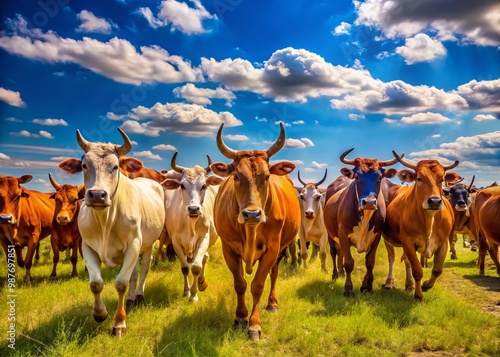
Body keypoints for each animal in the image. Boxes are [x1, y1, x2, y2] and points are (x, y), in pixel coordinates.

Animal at [58, 129, 164, 336]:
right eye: (84, 165)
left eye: (115, 167)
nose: (97, 195)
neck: (105, 220)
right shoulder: (88, 247)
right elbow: (96, 283)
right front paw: (100, 313)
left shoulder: (133, 245)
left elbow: (121, 283)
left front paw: (119, 322)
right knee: (134, 274)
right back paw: (130, 299)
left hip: (147, 244)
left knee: (144, 269)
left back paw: (138, 295)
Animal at [161, 152, 222, 302]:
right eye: (182, 185)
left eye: (204, 185)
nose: (194, 209)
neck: (190, 223)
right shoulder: (176, 243)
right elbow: (185, 268)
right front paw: (186, 292)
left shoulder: (203, 239)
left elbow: (196, 267)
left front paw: (194, 295)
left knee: (204, 258)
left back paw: (202, 282)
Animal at [211, 122, 300, 340]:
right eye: (235, 176)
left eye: (267, 176)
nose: (252, 214)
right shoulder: (228, 249)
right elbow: (240, 283)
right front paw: (241, 317)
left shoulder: (272, 249)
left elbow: (258, 285)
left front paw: (254, 324)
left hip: (281, 250)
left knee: (274, 274)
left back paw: (272, 303)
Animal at [322, 149, 400, 296]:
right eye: (357, 177)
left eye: (379, 177)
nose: (369, 202)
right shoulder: (343, 234)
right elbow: (349, 263)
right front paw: (348, 289)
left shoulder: (376, 235)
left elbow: (370, 262)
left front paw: (367, 287)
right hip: (330, 233)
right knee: (334, 252)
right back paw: (335, 274)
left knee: (340, 252)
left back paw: (341, 273)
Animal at [380, 152, 458, 298]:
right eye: (419, 178)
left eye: (442, 179)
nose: (434, 201)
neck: (429, 219)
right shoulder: (407, 240)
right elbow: (417, 269)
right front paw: (418, 294)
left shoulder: (443, 242)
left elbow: (437, 270)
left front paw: (426, 285)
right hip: (387, 239)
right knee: (392, 257)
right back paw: (389, 282)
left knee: (406, 260)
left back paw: (409, 284)